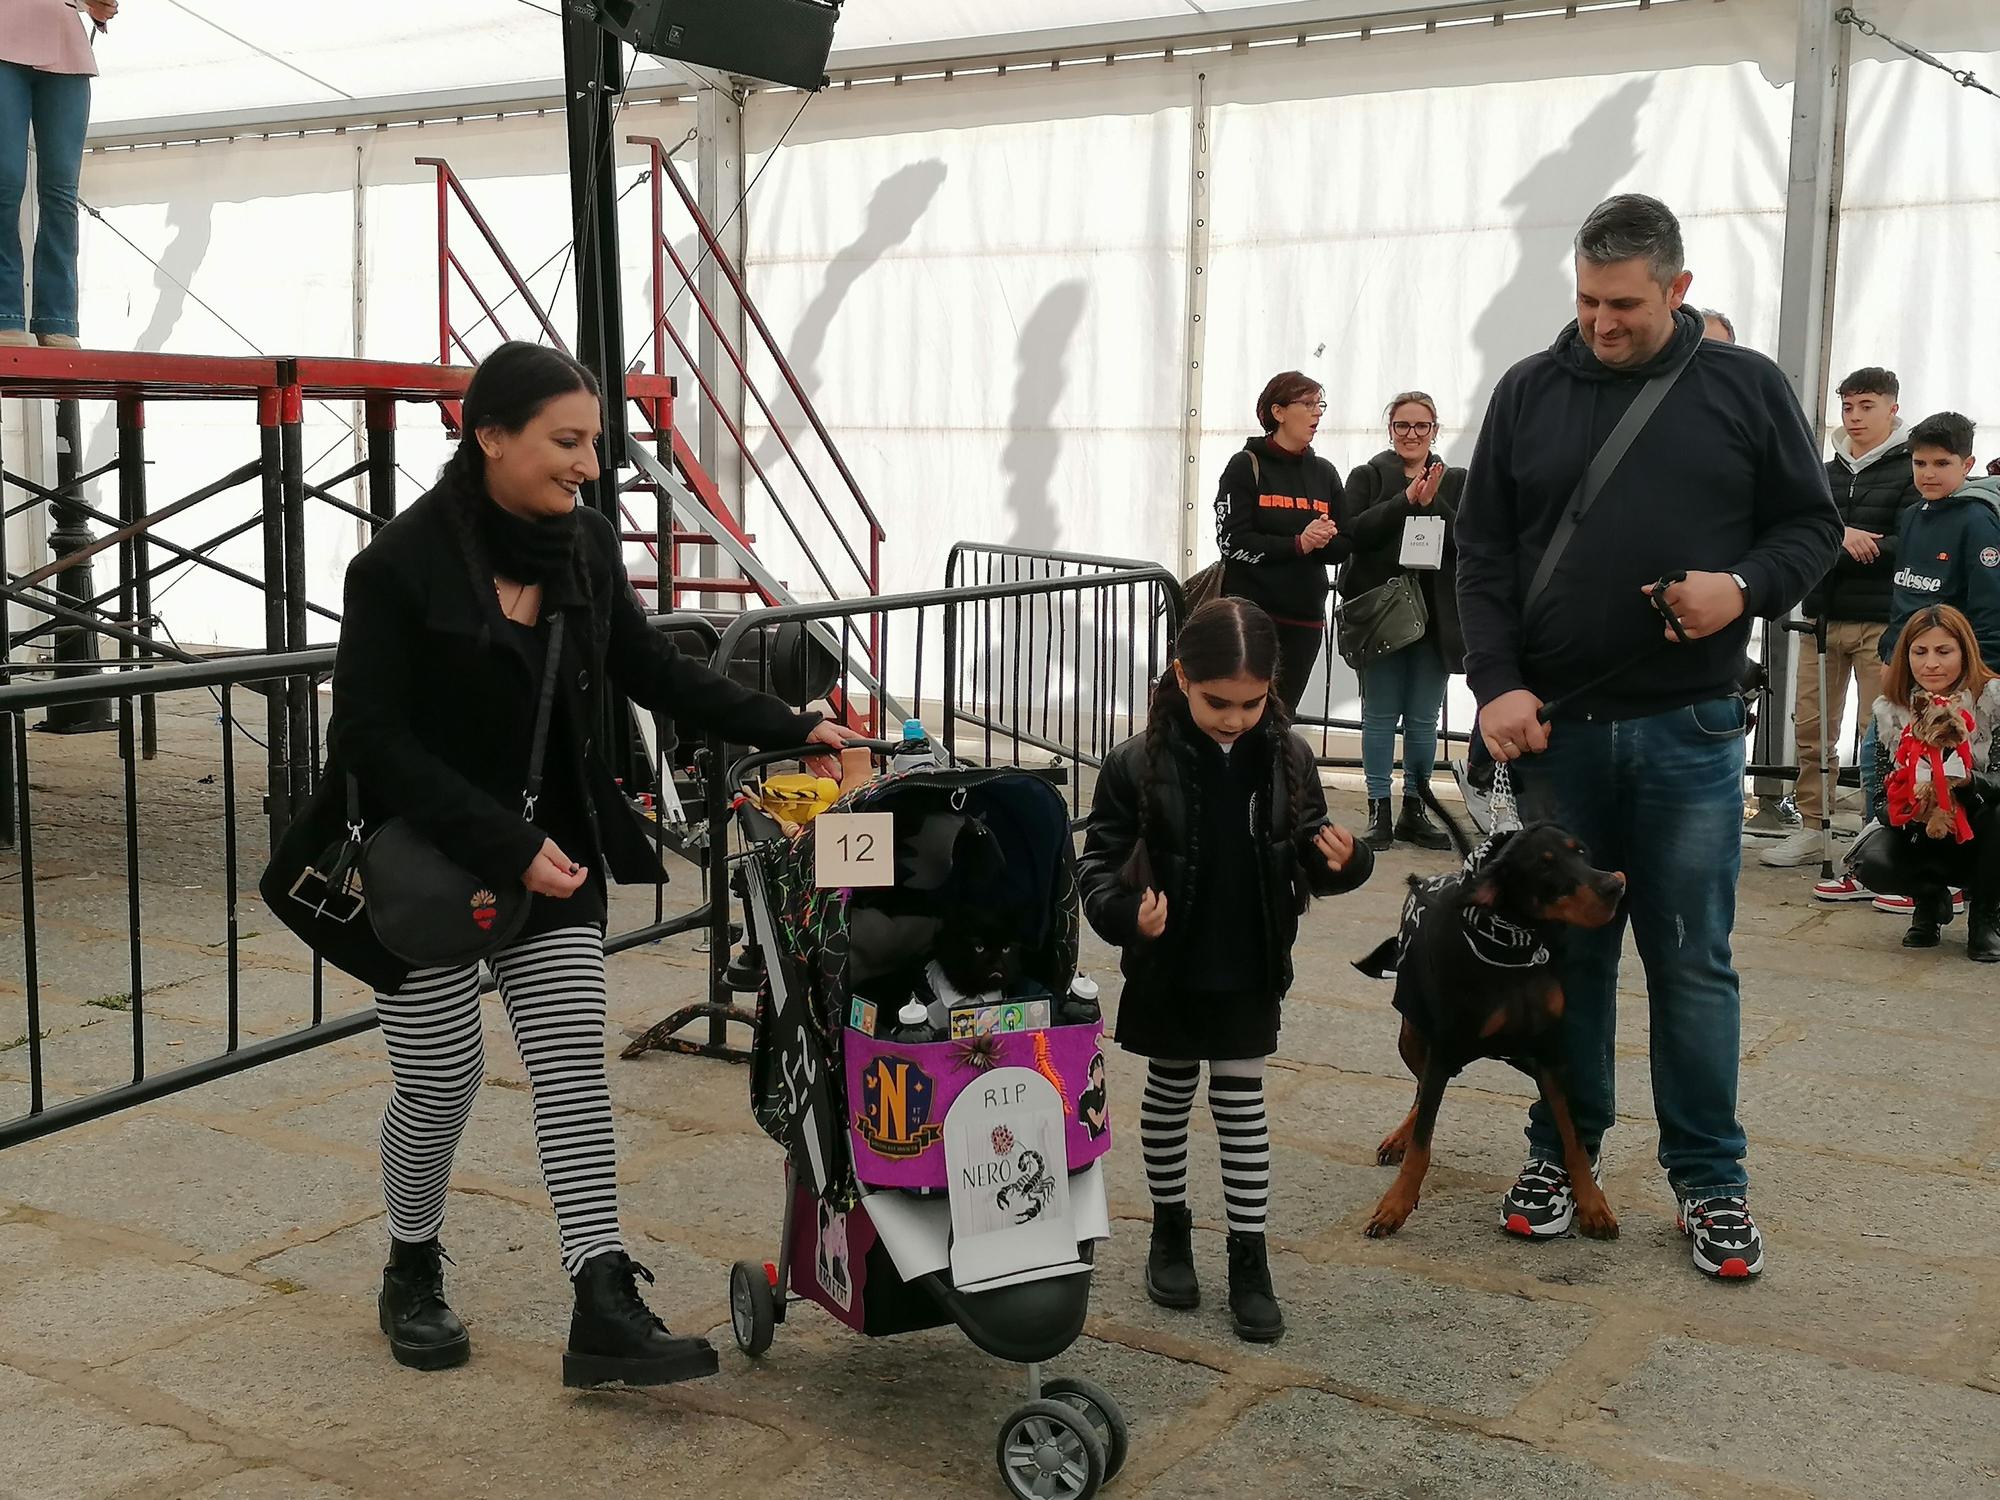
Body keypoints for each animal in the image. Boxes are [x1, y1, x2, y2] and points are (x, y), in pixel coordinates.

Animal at [1360, 812, 1624, 1248]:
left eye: (1582, 852)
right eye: (1544, 866)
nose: (1614, 884)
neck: (1512, 947)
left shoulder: (1549, 1055)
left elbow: (1571, 1139)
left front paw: (1593, 1205)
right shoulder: (1445, 1048)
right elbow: (1422, 1145)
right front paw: (1395, 1205)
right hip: (1414, 1035)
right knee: (1420, 1090)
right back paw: (1399, 1137)